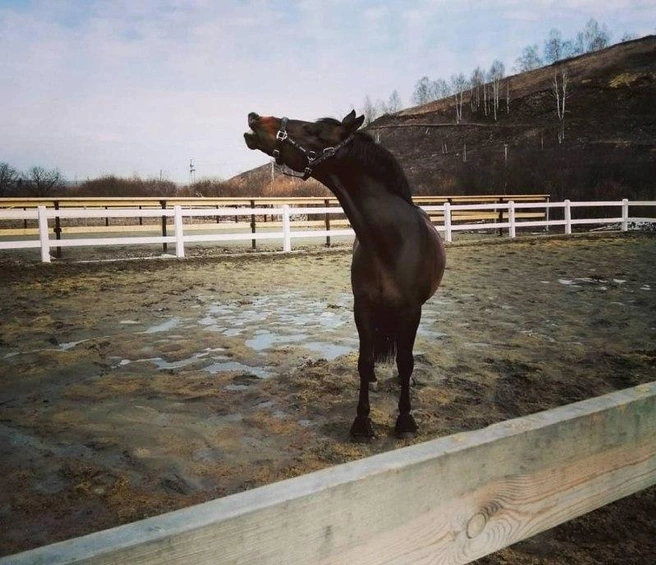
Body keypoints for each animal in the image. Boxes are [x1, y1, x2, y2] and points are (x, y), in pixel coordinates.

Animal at [244, 110, 446, 439]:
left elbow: (405, 362)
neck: (390, 242)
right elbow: (364, 361)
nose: (255, 118)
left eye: (311, 129)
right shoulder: (362, 307)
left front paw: (405, 419)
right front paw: (362, 421)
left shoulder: (411, 310)